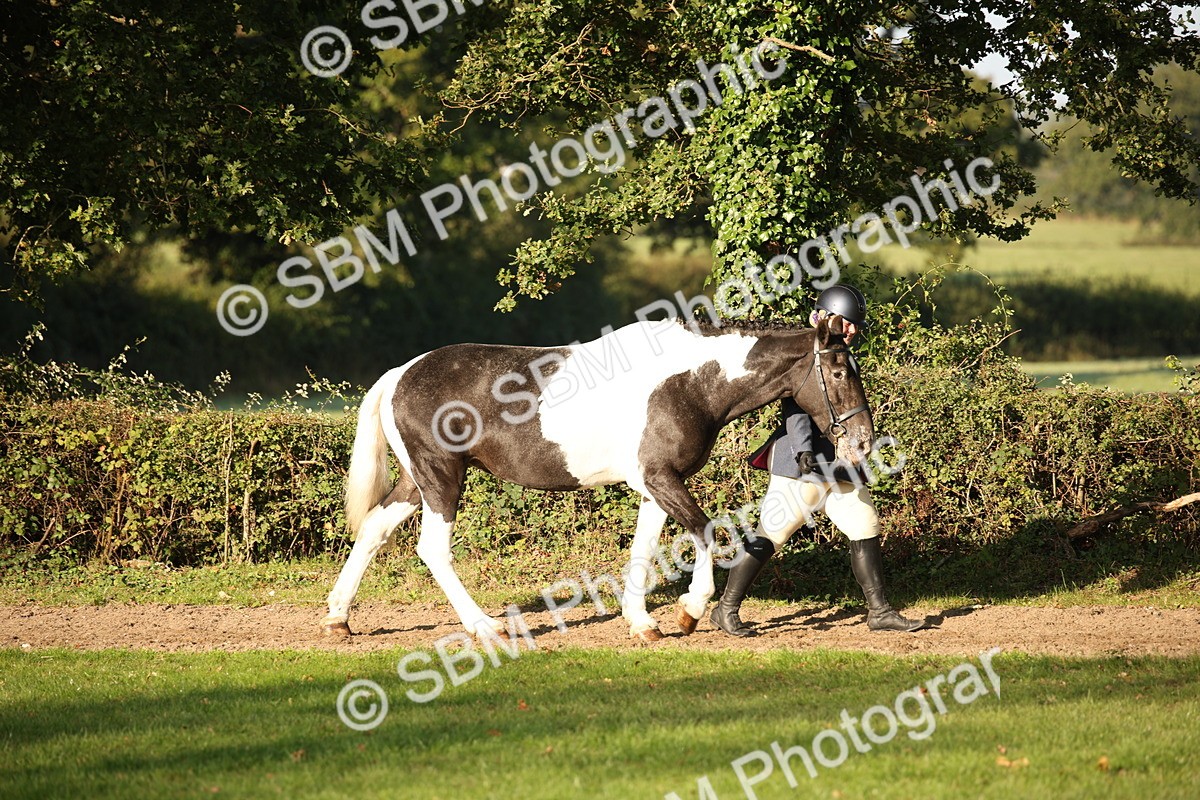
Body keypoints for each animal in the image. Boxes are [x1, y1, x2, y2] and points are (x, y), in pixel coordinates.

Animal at [321, 314, 874, 642]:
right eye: (840, 371)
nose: (865, 441)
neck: (688, 382)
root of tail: (399, 374)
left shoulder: (656, 485)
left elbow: (645, 548)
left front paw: (643, 622)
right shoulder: (659, 478)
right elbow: (706, 532)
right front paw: (689, 609)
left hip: (418, 481)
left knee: (374, 529)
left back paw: (338, 619)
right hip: (441, 479)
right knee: (432, 548)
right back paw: (484, 626)